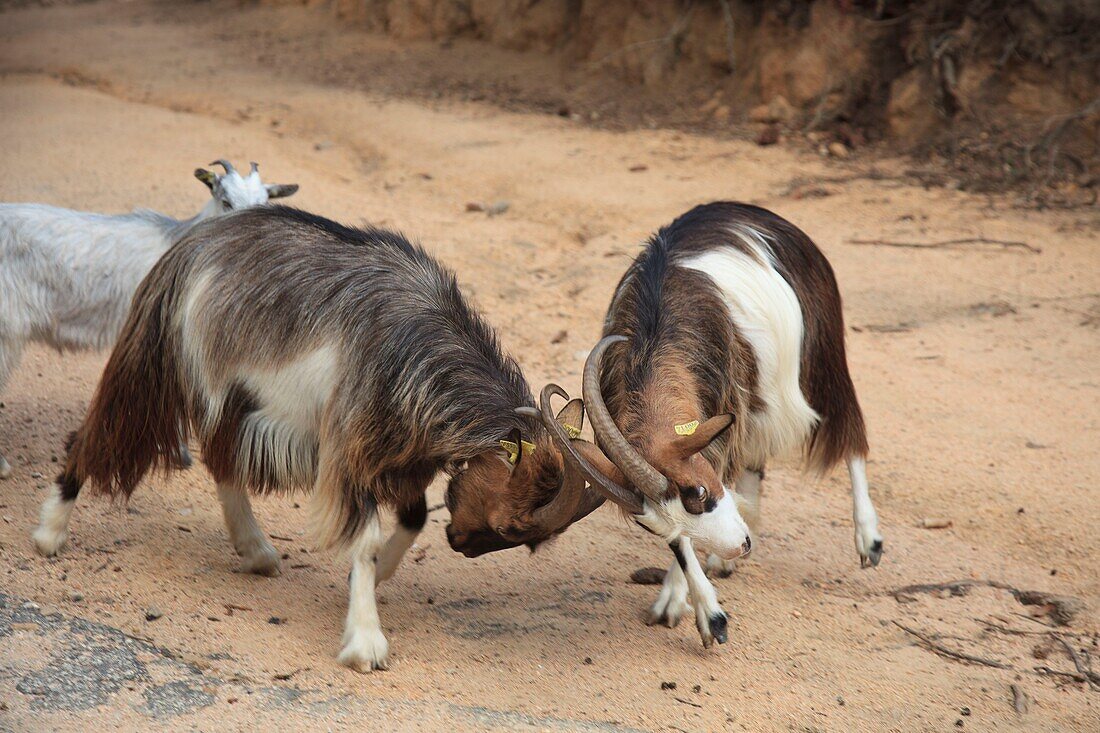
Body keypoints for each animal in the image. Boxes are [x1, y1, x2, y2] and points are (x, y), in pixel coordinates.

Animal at [30, 203, 602, 669]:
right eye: (509, 527)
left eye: (521, 538)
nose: (459, 546)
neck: (419, 344)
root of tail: (192, 245)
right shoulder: (351, 444)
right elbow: (365, 537)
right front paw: (365, 643)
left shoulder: (401, 451)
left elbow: (412, 518)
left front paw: (378, 577)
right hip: (161, 363)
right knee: (98, 432)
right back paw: (50, 532)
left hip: (238, 398)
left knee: (222, 460)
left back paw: (257, 551)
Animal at [525, 200, 884, 647]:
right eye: (648, 526)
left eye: (699, 491)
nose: (741, 545)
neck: (655, 330)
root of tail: (753, 212)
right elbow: (683, 542)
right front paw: (704, 613)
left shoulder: (721, 421)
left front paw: (685, 601)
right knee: (756, 462)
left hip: (820, 356)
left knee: (851, 432)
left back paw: (868, 540)